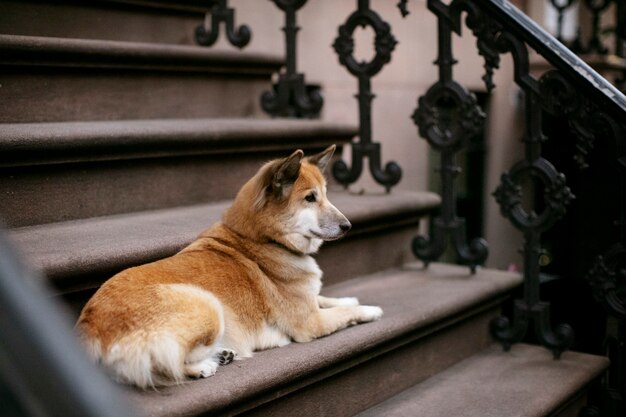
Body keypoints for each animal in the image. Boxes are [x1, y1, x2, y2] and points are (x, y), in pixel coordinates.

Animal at [75, 145, 382, 386]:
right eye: (310, 198)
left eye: (326, 195)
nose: (348, 226)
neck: (263, 239)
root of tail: (89, 326)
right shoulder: (310, 323)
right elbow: (345, 313)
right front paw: (369, 309)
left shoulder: (309, 302)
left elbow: (326, 298)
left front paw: (348, 297)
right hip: (207, 304)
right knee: (164, 365)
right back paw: (204, 366)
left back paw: (221, 354)